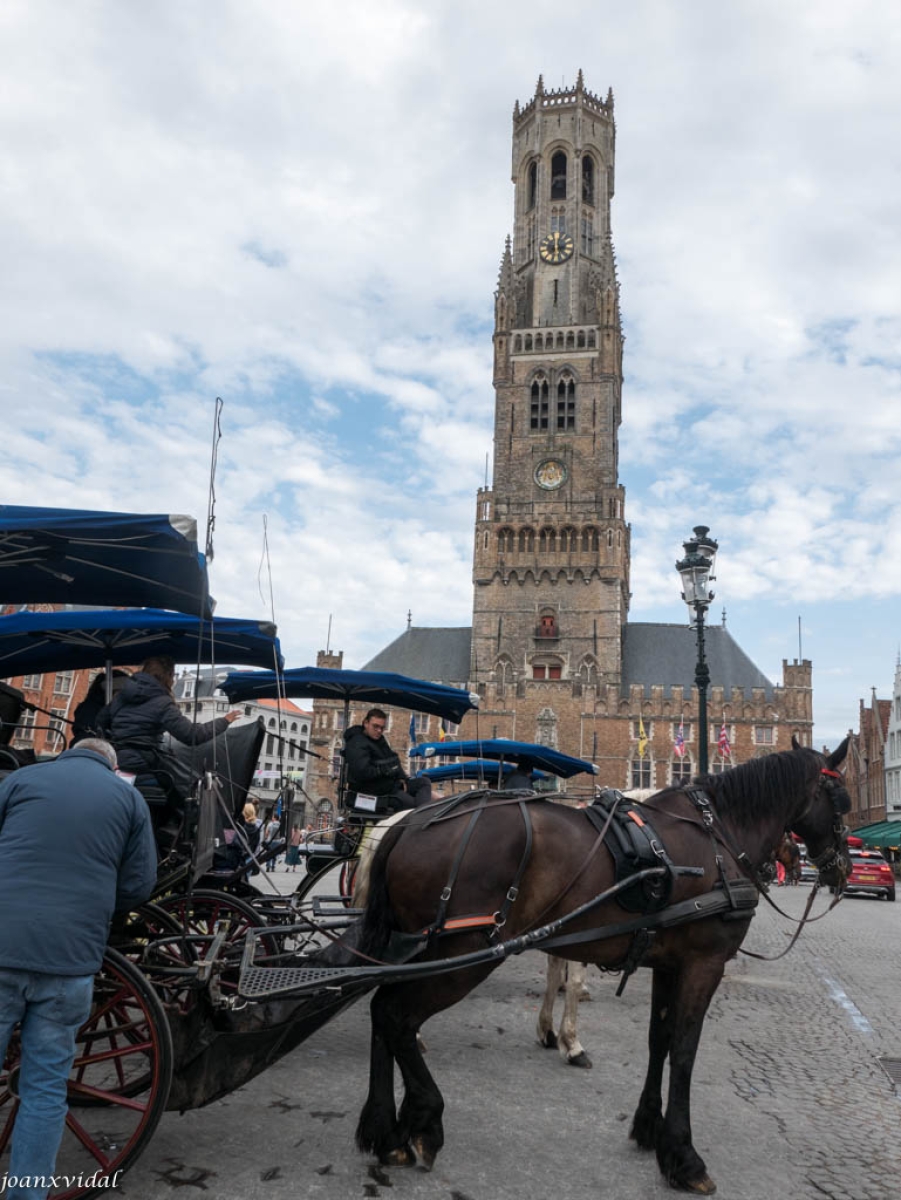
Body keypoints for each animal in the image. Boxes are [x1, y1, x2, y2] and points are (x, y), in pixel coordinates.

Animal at [347, 734, 849, 1195]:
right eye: (841, 800)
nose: (840, 869)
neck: (717, 836)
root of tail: (407, 824)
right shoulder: (703, 962)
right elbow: (685, 1050)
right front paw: (684, 1157)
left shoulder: (668, 961)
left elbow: (659, 1040)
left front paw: (648, 1128)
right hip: (462, 954)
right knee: (395, 1014)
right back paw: (423, 1121)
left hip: (422, 947)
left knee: (380, 1009)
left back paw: (384, 1133)